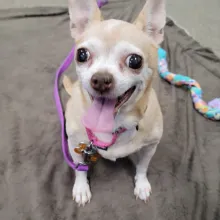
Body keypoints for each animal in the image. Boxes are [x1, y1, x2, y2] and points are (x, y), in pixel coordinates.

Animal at [64, 0, 165, 206]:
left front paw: (141, 184)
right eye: (82, 55)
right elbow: (80, 169)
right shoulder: (76, 146)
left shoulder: (151, 147)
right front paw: (81, 188)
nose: (101, 79)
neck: (113, 124)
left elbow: (143, 167)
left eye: (134, 61)